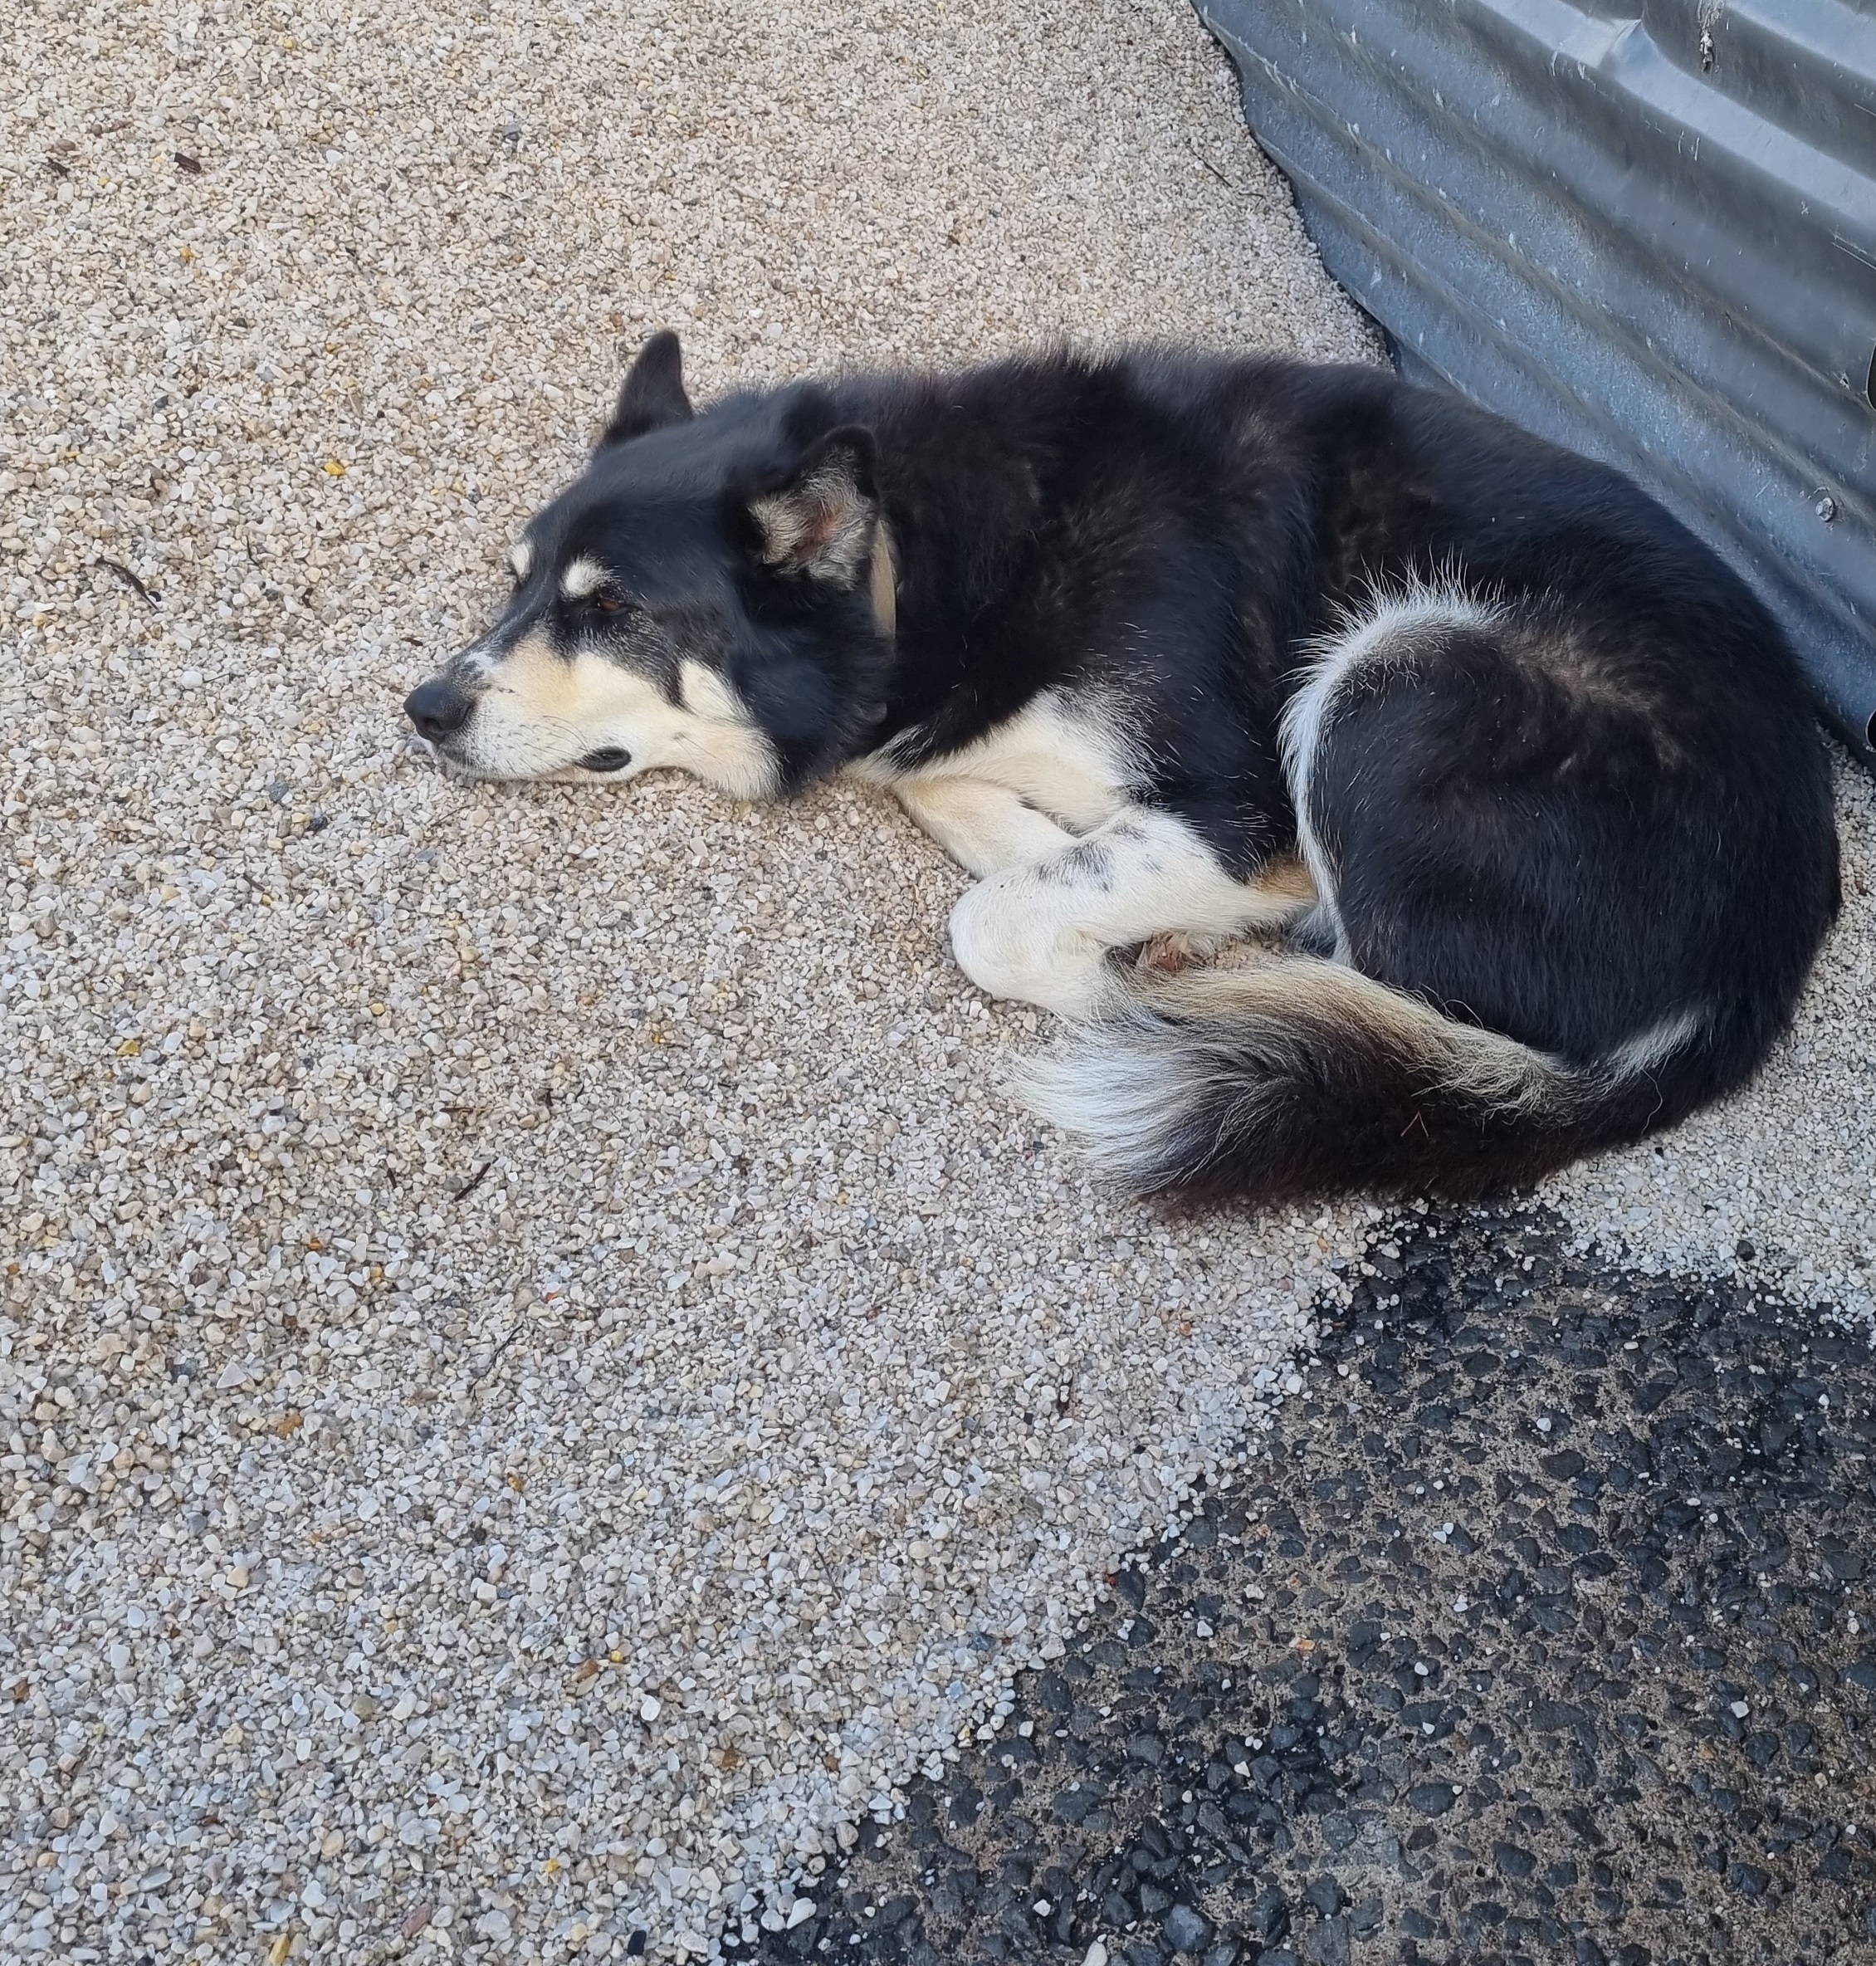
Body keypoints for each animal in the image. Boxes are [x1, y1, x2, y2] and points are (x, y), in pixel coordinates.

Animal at [405, 330, 1825, 1203]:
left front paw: (1111, 972)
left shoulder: (1238, 810)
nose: (425, 708)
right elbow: (973, 813)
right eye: (517, 581)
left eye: (610, 610)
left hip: (1397, 672)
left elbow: (996, 918)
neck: (932, 560)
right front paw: (1086, 887)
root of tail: (1760, 966)